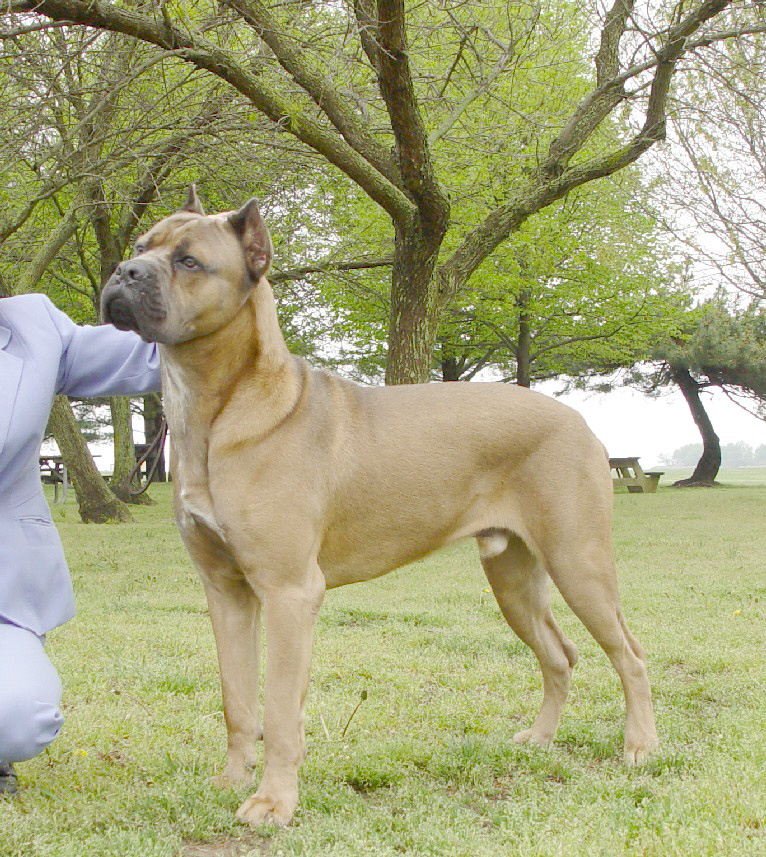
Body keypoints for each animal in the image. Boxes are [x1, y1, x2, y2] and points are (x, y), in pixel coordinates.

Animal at [100, 187, 660, 824]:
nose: (125, 272)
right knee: (559, 655)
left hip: (578, 562)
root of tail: (580, 421)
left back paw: (640, 746)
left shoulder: (289, 592)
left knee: (630, 655)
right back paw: (540, 738)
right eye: (141, 245)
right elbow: (237, 701)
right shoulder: (226, 591)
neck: (221, 405)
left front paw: (273, 802)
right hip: (512, 576)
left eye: (189, 261)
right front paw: (230, 781)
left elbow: (280, 711)